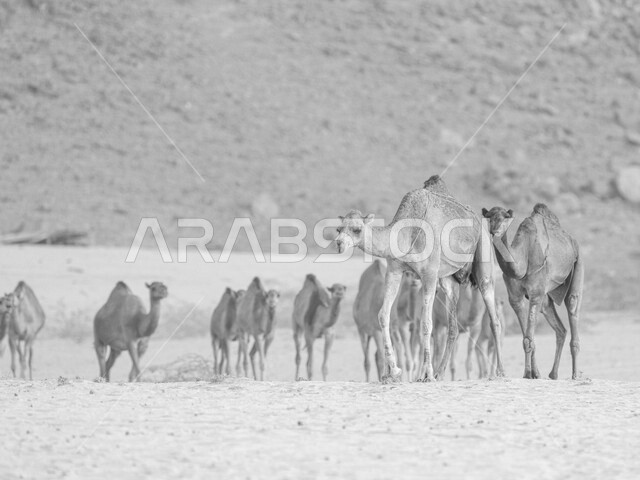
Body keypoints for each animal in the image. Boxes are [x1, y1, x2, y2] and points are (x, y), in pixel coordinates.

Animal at [336, 175, 505, 382]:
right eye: (338, 229)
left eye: (356, 229)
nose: (339, 244)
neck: (406, 233)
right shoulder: (394, 271)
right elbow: (383, 315)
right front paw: (393, 372)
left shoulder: (429, 274)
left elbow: (426, 323)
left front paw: (427, 374)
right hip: (449, 280)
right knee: (453, 327)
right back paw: (441, 373)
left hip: (484, 255)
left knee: (493, 317)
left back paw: (499, 372)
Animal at [482, 203, 583, 379]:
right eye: (489, 218)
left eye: (504, 218)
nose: (494, 231)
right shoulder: (515, 297)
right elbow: (526, 338)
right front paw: (531, 373)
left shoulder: (536, 293)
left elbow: (529, 338)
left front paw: (529, 373)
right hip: (547, 297)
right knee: (560, 328)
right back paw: (553, 374)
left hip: (577, 265)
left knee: (572, 304)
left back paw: (575, 374)